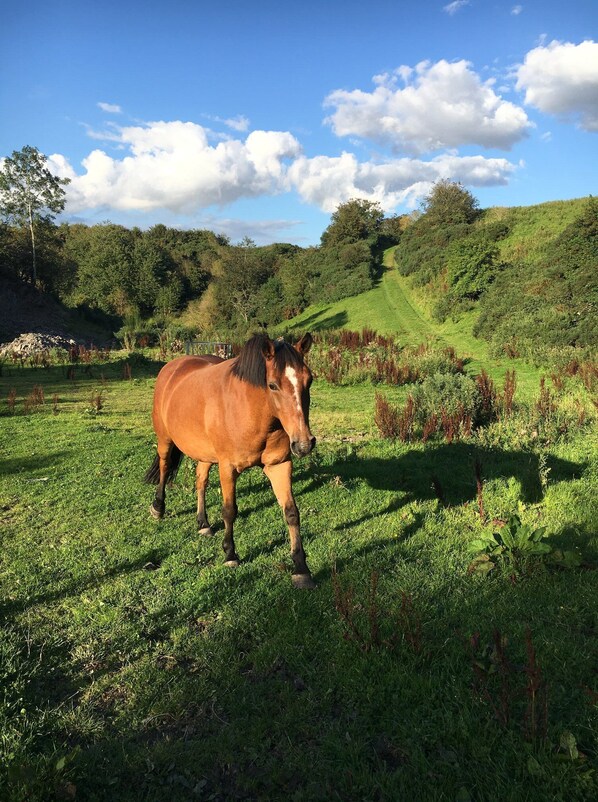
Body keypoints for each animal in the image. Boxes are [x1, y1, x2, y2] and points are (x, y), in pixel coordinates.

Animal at [144, 332, 318, 588]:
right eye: (272, 385)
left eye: (309, 381)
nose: (304, 444)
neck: (251, 412)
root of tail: (172, 367)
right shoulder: (228, 468)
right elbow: (229, 510)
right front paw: (230, 554)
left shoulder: (279, 466)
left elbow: (291, 512)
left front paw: (301, 568)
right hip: (165, 439)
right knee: (165, 468)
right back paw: (158, 508)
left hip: (205, 453)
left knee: (200, 481)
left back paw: (203, 524)